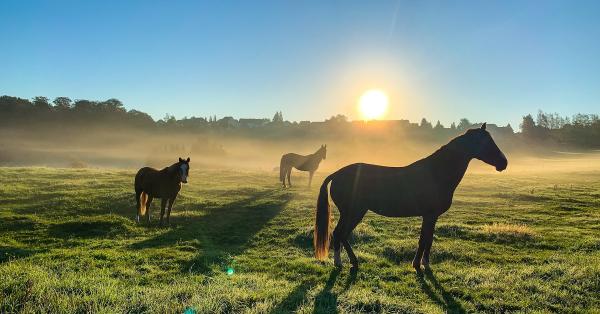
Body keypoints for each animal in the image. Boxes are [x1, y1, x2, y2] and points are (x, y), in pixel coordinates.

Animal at [314, 124, 506, 270]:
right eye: (486, 142)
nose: (504, 163)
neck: (436, 173)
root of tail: (338, 173)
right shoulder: (429, 215)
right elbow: (423, 240)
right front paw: (418, 265)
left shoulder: (432, 217)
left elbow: (428, 240)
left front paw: (424, 264)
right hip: (353, 212)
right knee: (340, 234)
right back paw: (342, 263)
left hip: (353, 213)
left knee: (341, 235)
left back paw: (349, 262)